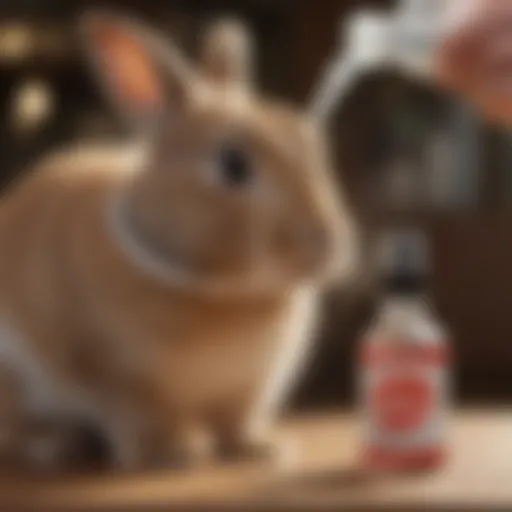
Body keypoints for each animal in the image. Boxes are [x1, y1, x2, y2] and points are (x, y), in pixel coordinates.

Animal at [0, 9, 356, 472]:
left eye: (308, 142)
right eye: (233, 164)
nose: (328, 244)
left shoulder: (247, 388)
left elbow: (237, 421)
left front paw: (259, 449)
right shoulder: (118, 377)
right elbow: (143, 416)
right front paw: (175, 454)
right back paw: (56, 445)